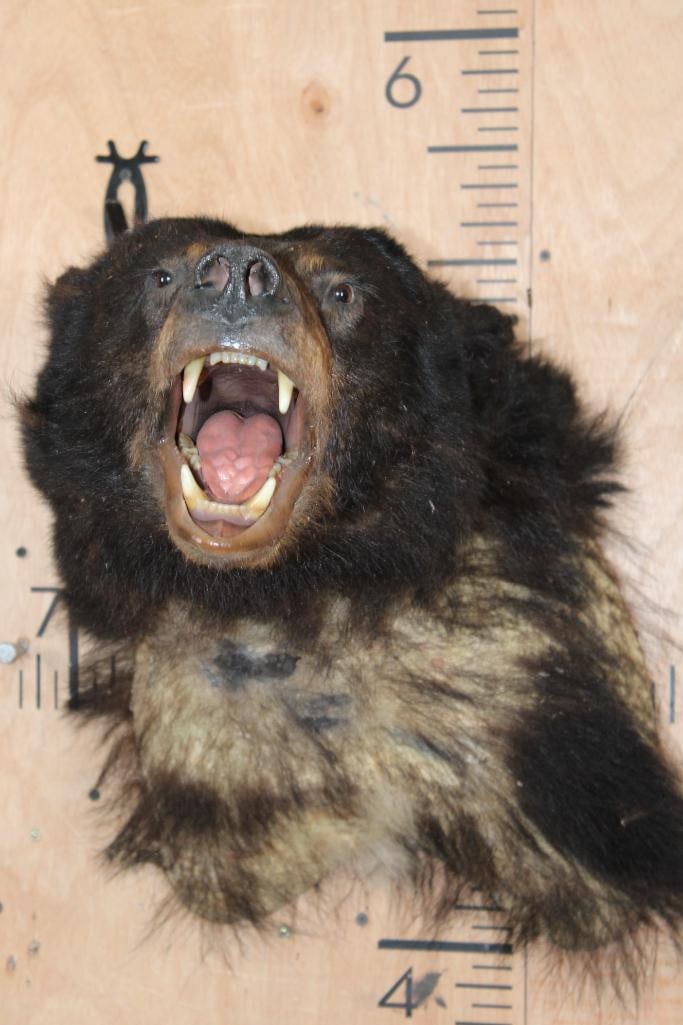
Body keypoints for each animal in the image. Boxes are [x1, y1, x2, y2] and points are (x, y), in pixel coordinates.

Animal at [21, 217, 683, 968]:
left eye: (342, 292)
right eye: (159, 276)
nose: (237, 275)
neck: (301, 586)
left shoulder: (533, 657)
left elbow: (603, 844)